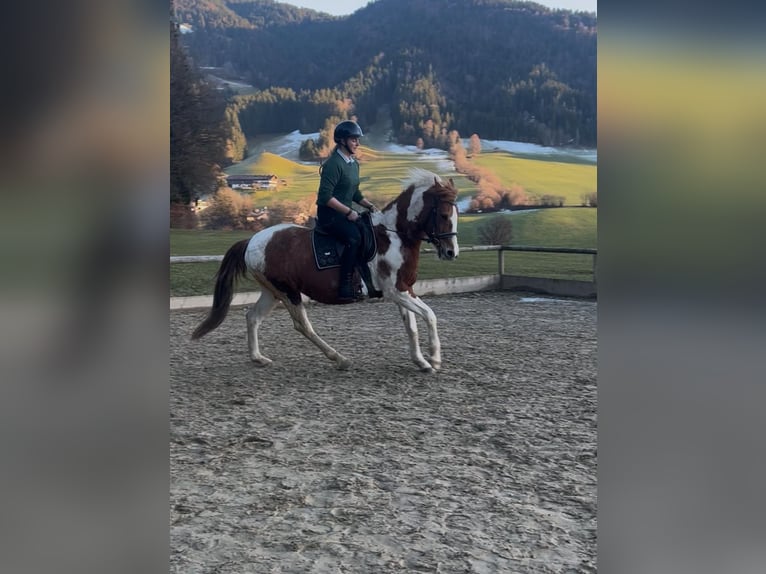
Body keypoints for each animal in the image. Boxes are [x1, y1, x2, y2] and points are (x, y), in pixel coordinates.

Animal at [191, 168, 459, 373]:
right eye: (444, 214)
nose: (451, 253)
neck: (394, 235)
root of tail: (253, 240)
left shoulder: (403, 290)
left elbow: (412, 326)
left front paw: (421, 362)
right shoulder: (396, 291)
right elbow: (430, 316)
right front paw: (435, 359)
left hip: (272, 291)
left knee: (253, 317)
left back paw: (258, 358)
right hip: (288, 292)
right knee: (303, 326)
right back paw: (339, 358)